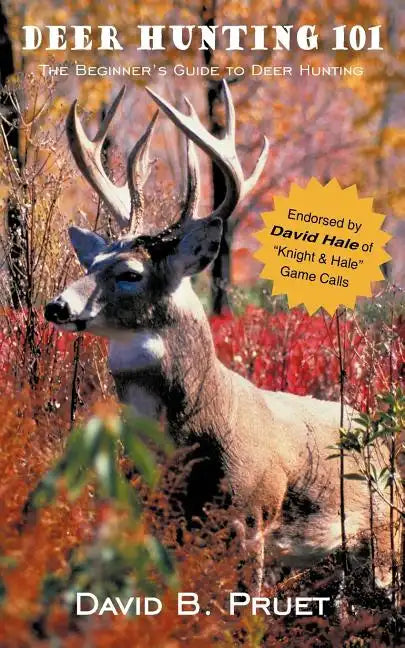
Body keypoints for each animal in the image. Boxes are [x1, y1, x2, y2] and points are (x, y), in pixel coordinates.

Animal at [45, 82, 400, 597]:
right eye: (90, 264)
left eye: (130, 273)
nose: (56, 306)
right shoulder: (158, 516)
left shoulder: (250, 514)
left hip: (387, 527)